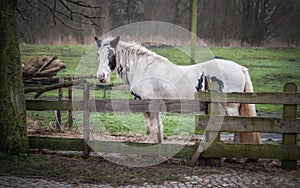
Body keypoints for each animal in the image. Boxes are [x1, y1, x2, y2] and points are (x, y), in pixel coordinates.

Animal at [95, 36, 262, 144]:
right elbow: (158, 128)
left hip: (231, 106)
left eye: (111, 55)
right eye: (98, 54)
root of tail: (240, 68)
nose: (101, 76)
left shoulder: (147, 104)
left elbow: (151, 128)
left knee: (238, 127)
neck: (143, 68)